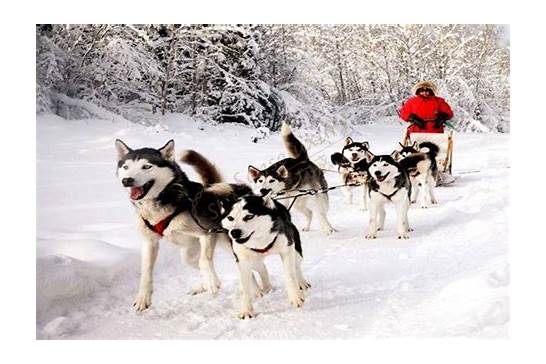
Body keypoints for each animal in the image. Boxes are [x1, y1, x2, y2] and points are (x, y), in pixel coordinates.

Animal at [116, 141, 251, 312]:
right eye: (125, 167)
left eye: (146, 166)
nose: (127, 180)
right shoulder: (149, 242)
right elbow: (146, 272)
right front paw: (143, 298)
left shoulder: (206, 233)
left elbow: (204, 261)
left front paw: (211, 281)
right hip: (188, 254)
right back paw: (204, 285)